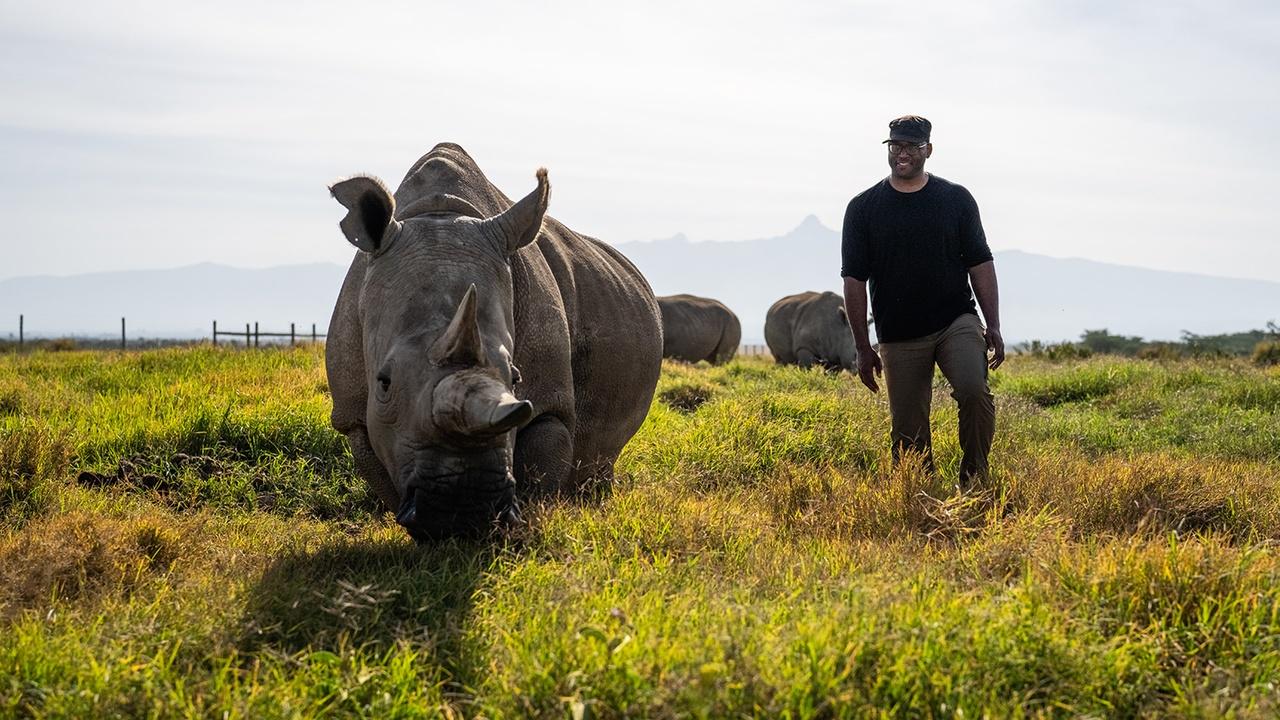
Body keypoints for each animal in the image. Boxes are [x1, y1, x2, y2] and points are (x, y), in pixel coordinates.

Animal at [325, 143, 663, 540]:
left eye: (516, 379)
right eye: (384, 383)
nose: (464, 509)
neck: (441, 214)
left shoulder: (549, 404)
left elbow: (537, 478)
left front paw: (510, 537)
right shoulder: (354, 416)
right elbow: (384, 473)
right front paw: (433, 541)